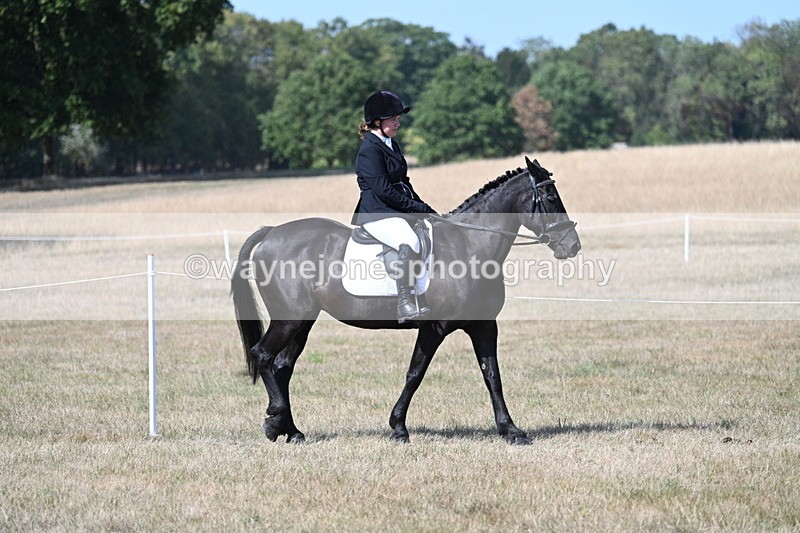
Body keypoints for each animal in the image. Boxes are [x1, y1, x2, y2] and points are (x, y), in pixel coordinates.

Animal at [231, 156, 581, 445]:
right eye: (551, 198)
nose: (572, 246)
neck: (470, 246)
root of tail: (272, 232)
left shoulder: (483, 325)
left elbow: (492, 376)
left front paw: (511, 430)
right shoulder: (434, 328)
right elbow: (415, 373)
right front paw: (398, 428)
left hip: (302, 322)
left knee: (282, 366)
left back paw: (289, 430)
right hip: (289, 319)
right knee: (263, 355)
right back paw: (274, 418)